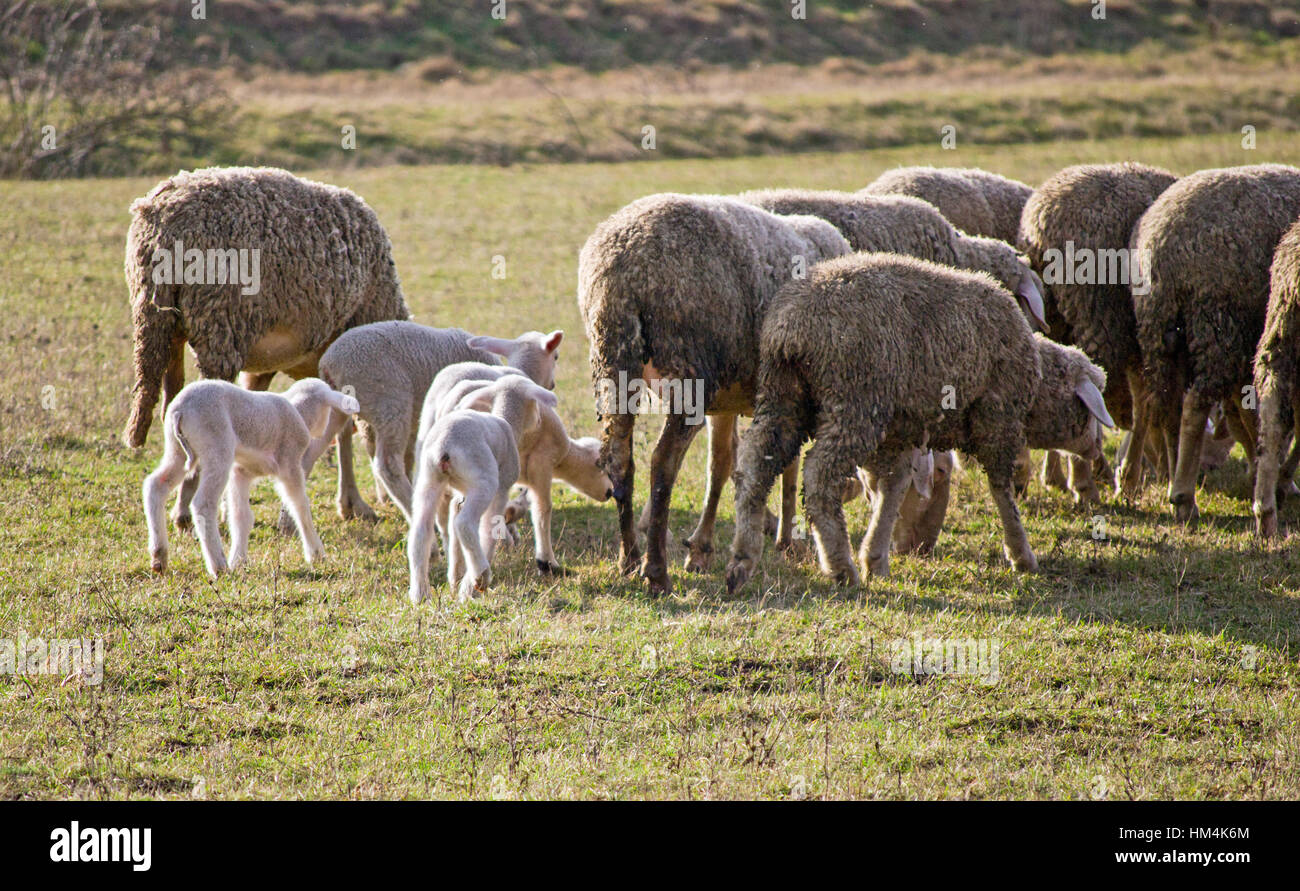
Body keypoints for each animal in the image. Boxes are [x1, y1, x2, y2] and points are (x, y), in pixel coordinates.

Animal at [142, 374, 358, 577]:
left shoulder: (241, 472)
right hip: (216, 446)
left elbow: (241, 516)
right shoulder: (290, 465)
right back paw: (219, 566)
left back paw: (159, 556)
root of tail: (180, 410)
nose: (324, 433)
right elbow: (300, 506)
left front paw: (239, 560)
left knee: (156, 485)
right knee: (203, 503)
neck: (299, 411)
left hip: (176, 448)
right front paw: (316, 554)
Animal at [722, 253, 1107, 593]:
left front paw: (876, 557)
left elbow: (892, 489)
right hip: (854, 400)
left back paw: (742, 559)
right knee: (819, 477)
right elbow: (1002, 490)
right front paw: (1021, 555)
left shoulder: (902, 433)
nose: (1097, 452)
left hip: (782, 394)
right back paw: (840, 567)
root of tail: (792, 326)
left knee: (754, 466)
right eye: (1087, 412)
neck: (1036, 380)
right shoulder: (998, 421)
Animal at [1133, 163, 1300, 525]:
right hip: (1217, 325)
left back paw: (1177, 484)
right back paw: (1184, 497)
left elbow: (1247, 416)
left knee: (1170, 409)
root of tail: (1163, 244)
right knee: (1195, 405)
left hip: (1162, 332)